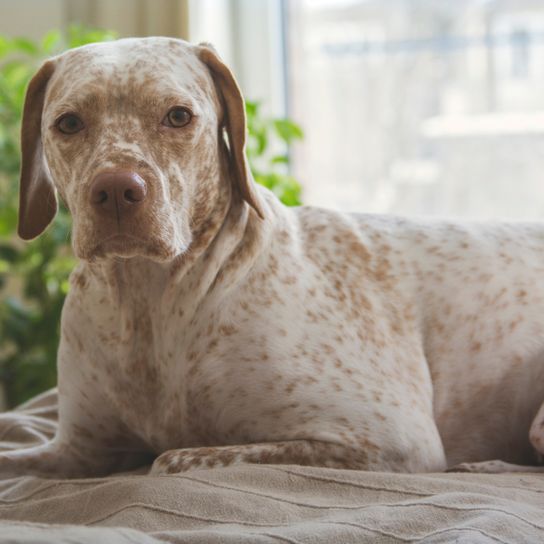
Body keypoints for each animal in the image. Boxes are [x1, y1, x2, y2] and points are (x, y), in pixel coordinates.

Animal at [1, 37, 544, 476]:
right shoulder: (78, 450)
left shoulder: (389, 436)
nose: (116, 190)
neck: (150, 307)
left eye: (178, 116)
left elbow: (172, 457)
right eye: (69, 123)